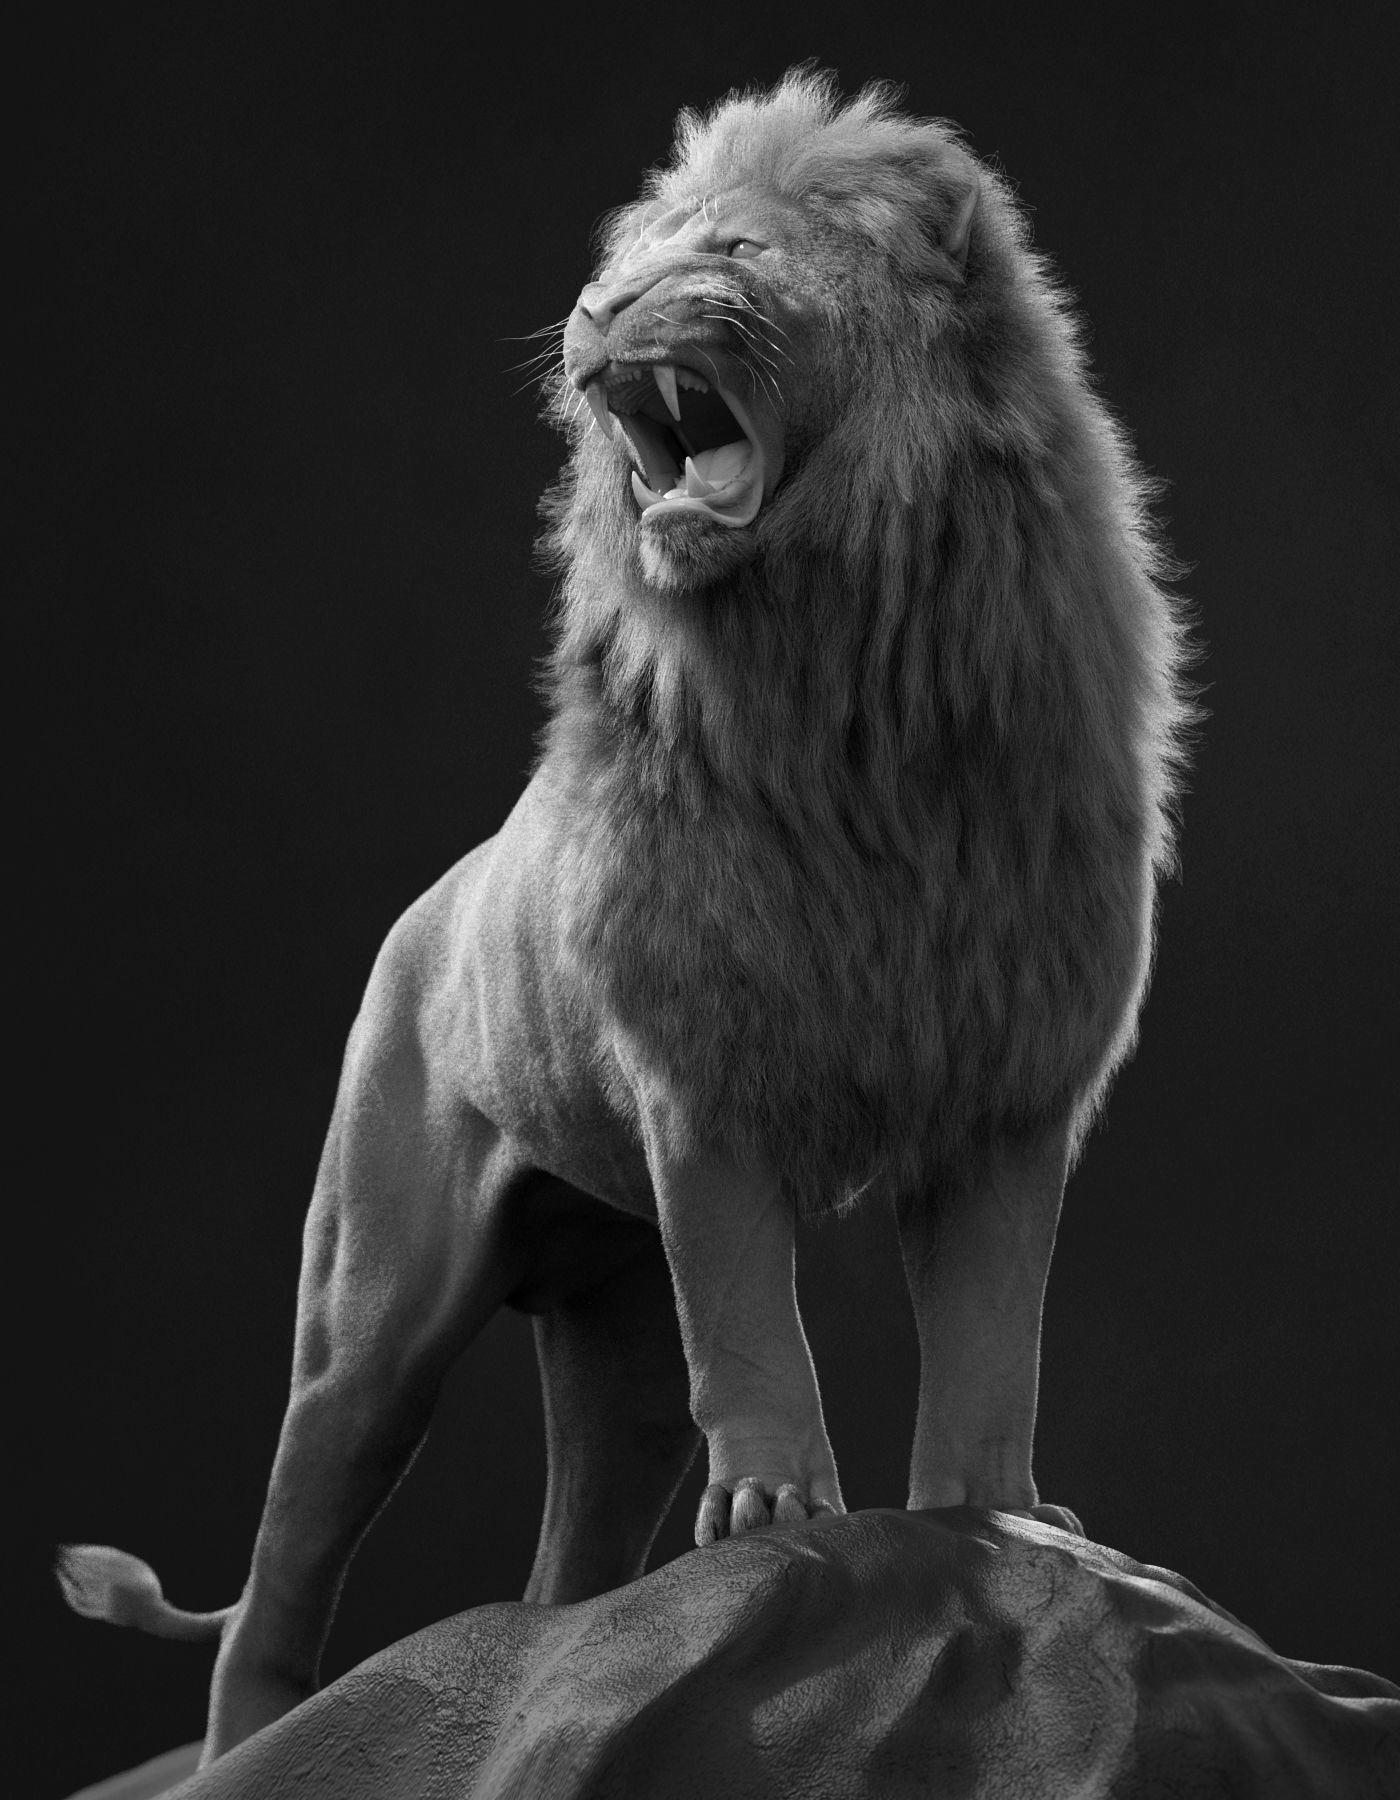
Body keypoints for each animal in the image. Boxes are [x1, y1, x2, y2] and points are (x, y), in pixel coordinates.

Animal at [58, 70, 1193, 1764]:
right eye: (623, 261)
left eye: (726, 250)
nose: (593, 310)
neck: (847, 680)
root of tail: (429, 903)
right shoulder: (699, 1076)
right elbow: (760, 1327)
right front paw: (781, 1506)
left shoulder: (1006, 1083)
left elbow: (994, 1333)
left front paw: (1001, 1520)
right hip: (370, 1306)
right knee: (287, 1561)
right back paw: (255, 1744)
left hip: (617, 1335)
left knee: (571, 1570)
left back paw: (561, 1680)